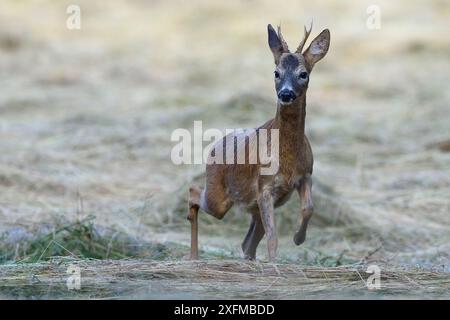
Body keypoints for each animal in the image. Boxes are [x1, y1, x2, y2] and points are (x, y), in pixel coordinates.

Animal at [187, 23, 330, 262]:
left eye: (303, 74)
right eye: (276, 73)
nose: (286, 93)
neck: (287, 158)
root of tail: (215, 145)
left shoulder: (305, 175)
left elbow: (309, 208)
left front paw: (298, 239)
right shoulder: (265, 186)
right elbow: (273, 236)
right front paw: (274, 263)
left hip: (252, 206)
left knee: (247, 244)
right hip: (219, 198)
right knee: (194, 192)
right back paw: (194, 257)